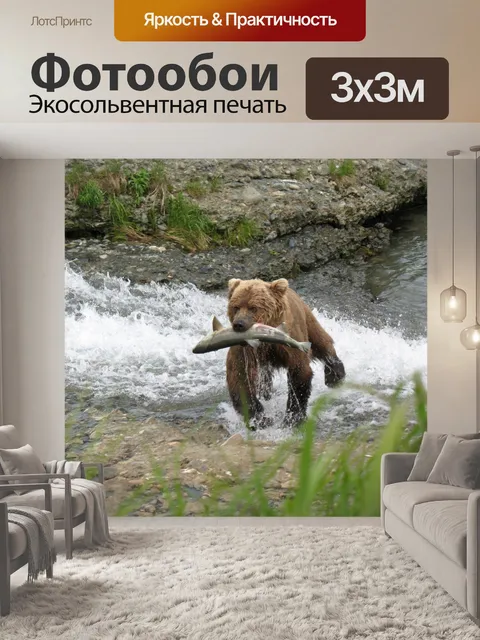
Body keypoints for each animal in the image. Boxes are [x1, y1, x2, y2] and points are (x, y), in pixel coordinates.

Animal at [226, 277, 346, 428]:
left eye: (253, 307)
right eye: (235, 307)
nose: (239, 324)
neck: (265, 340)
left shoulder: (289, 342)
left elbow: (299, 371)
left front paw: (293, 417)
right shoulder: (245, 350)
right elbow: (240, 377)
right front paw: (260, 419)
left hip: (306, 318)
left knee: (321, 341)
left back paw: (335, 375)